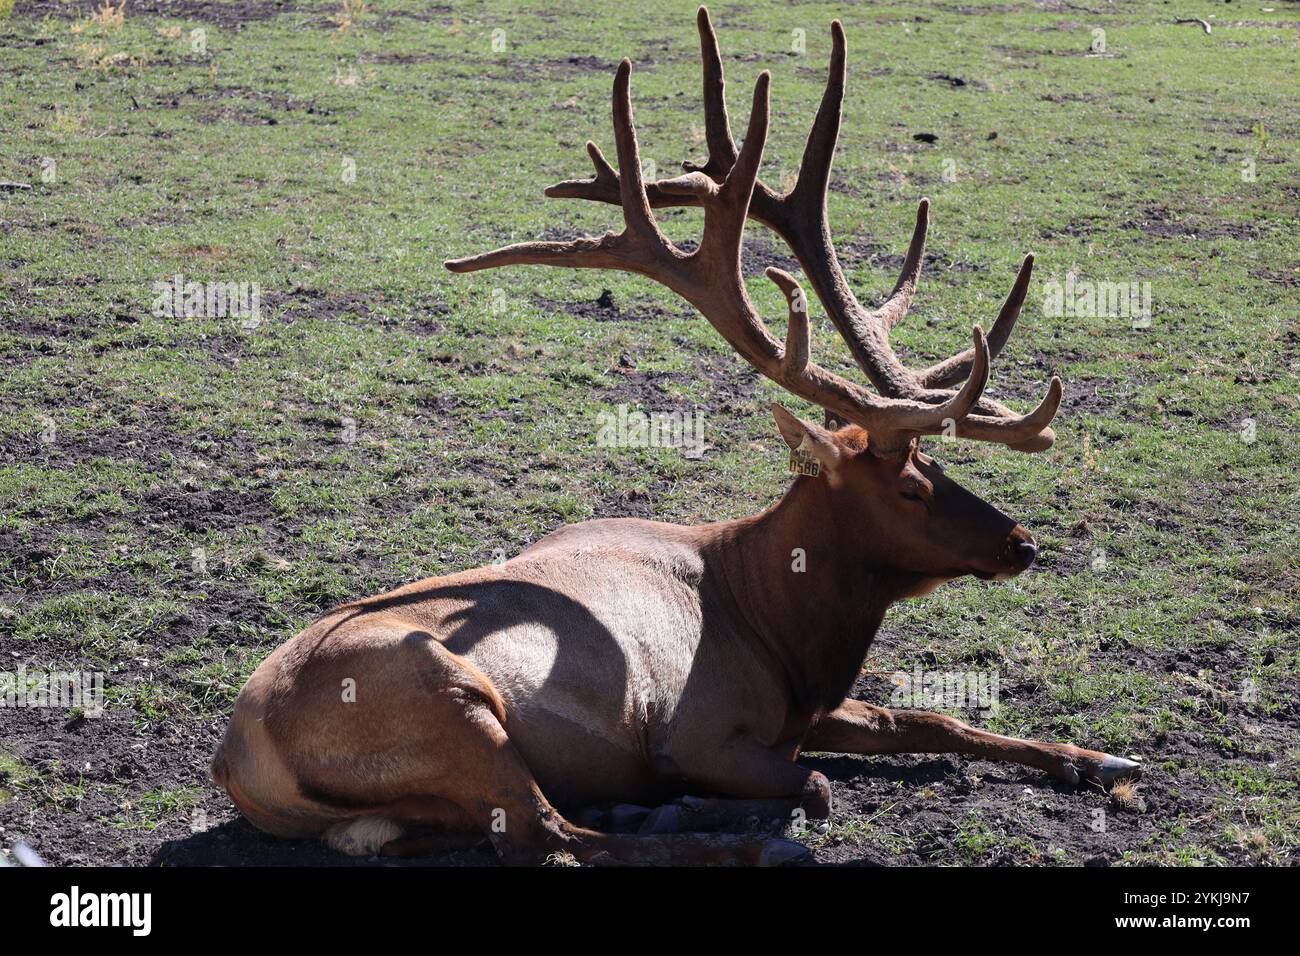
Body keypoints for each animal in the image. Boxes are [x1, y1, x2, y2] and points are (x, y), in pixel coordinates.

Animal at [210, 7, 1138, 868]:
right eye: (909, 485)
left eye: (937, 462)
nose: (1021, 542)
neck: (784, 632)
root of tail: (236, 760)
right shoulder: (704, 730)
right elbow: (816, 778)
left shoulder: (820, 707)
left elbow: (926, 716)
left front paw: (1098, 757)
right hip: (454, 700)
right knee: (549, 833)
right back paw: (715, 832)